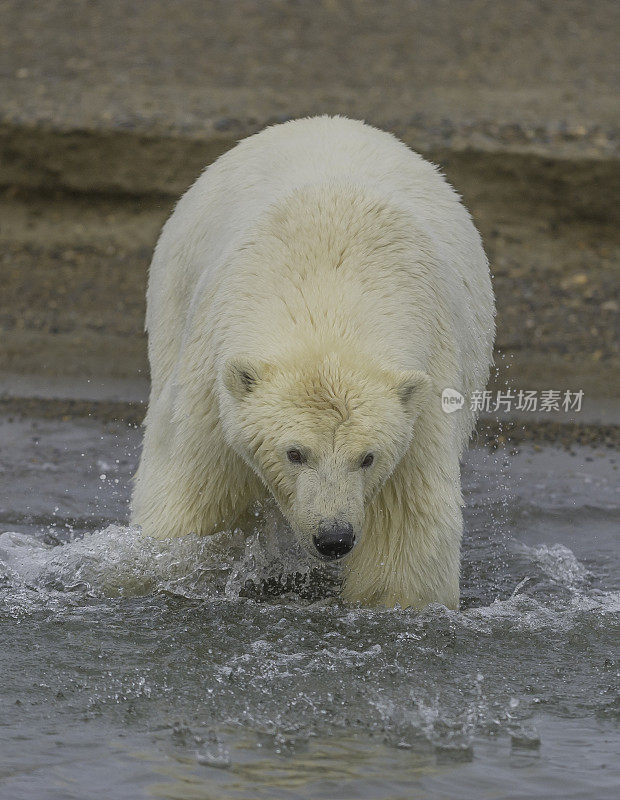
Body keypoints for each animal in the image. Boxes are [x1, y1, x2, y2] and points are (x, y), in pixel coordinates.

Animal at [132, 115, 494, 608]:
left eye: (367, 457)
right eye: (295, 452)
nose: (333, 537)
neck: (331, 295)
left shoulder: (425, 395)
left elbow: (404, 537)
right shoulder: (212, 383)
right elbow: (193, 497)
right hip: (174, 293)